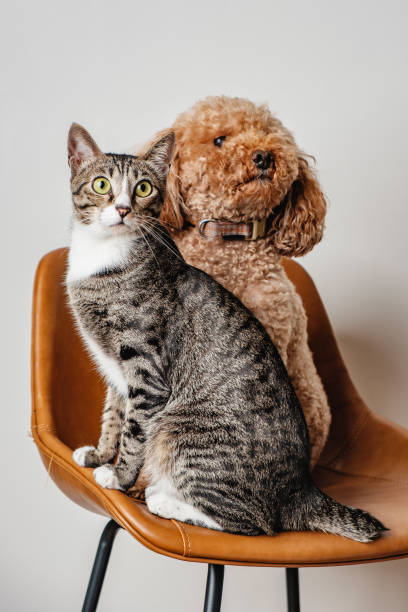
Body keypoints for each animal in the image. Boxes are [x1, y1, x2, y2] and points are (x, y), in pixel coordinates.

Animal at [66, 123, 386, 540]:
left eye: (144, 189)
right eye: (102, 185)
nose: (122, 209)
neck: (102, 258)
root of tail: (303, 490)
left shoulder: (145, 368)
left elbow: (134, 431)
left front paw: (119, 478)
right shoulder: (114, 367)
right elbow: (113, 415)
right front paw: (100, 454)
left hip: (181, 432)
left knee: (255, 525)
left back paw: (164, 499)